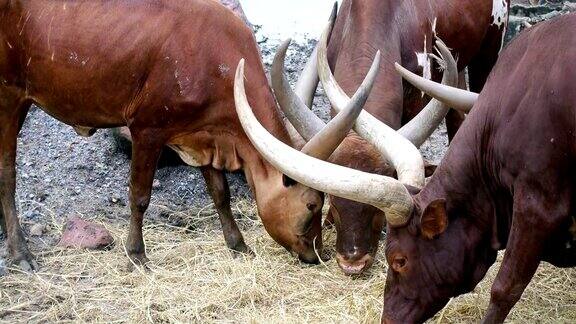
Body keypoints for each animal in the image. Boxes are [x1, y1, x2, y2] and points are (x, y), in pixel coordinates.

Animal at [235, 12, 576, 324]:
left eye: (398, 260)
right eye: (328, 204)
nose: (352, 264)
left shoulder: (537, 208)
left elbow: (505, 287)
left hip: (490, 45)